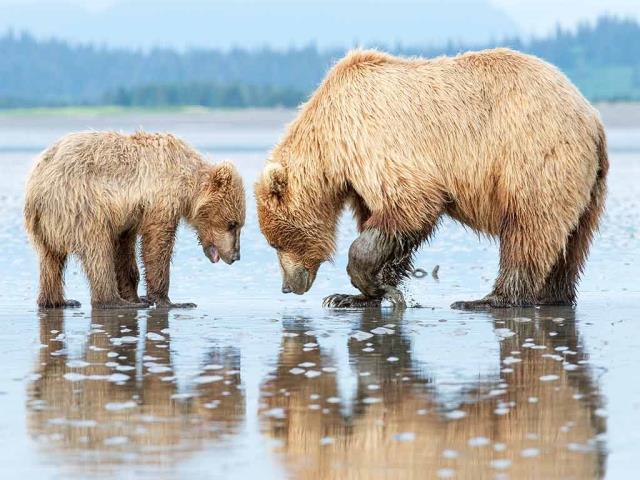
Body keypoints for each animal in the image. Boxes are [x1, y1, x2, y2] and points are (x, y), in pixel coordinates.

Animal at [25, 131, 245, 309]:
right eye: (232, 224)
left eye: (239, 225)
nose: (236, 256)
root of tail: (36, 186)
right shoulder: (160, 198)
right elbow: (156, 244)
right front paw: (169, 301)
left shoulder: (128, 214)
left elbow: (124, 250)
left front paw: (136, 296)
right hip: (80, 205)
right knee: (98, 250)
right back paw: (113, 301)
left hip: (48, 224)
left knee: (51, 260)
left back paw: (59, 301)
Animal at [255, 48, 608, 309]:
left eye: (275, 242)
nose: (288, 287)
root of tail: (592, 117)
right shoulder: (358, 179)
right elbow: (385, 225)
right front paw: (355, 295)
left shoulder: (374, 138)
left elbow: (409, 204)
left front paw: (364, 281)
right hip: (587, 184)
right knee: (571, 241)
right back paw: (554, 295)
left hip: (533, 154)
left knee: (528, 228)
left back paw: (488, 299)